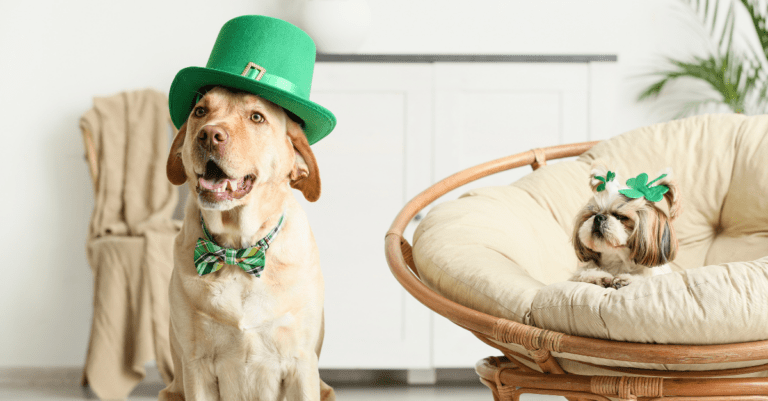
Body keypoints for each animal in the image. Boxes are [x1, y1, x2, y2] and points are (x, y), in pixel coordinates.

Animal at [159, 86, 332, 398]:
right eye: (200, 111)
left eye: (256, 117)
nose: (209, 134)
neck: (236, 251)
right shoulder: (196, 366)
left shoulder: (301, 363)